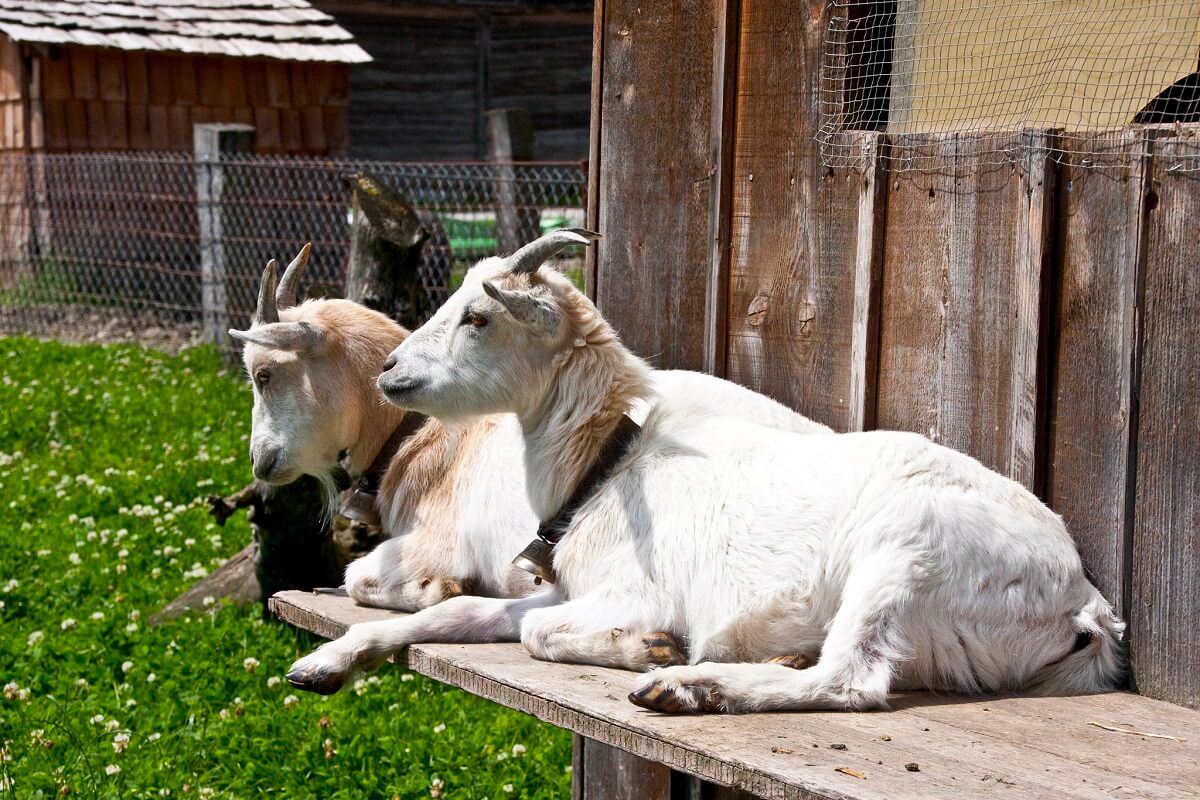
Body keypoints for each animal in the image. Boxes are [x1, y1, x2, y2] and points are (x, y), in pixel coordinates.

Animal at [228, 244, 833, 688]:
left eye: (264, 374)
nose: (261, 461)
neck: (428, 441)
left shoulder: (438, 542)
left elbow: (359, 577)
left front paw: (432, 587)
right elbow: (455, 614)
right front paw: (326, 663)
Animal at [323, 228, 1125, 714]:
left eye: (479, 318)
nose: (389, 372)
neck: (610, 468)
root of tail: (1083, 603)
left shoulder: (631, 592)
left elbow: (538, 636)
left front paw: (652, 649)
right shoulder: (568, 589)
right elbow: (457, 613)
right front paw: (328, 664)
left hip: (906, 555)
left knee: (852, 681)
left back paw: (689, 685)